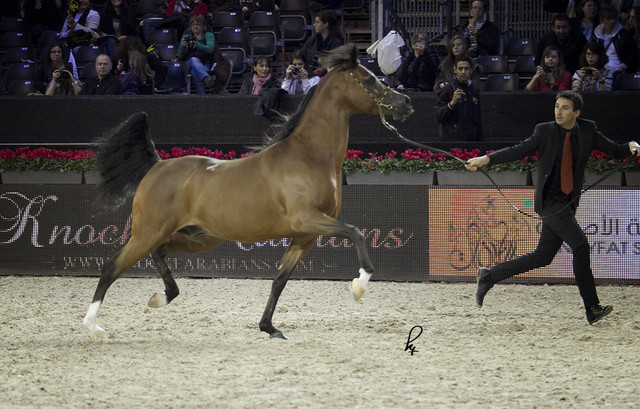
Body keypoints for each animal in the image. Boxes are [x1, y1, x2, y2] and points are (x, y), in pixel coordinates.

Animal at [83, 43, 414, 339]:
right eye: (368, 79)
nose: (406, 103)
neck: (308, 157)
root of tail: (157, 165)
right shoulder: (306, 219)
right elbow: (356, 232)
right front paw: (358, 286)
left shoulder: (305, 235)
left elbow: (280, 279)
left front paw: (269, 328)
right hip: (147, 232)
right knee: (111, 266)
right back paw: (93, 326)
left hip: (200, 238)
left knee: (159, 253)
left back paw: (161, 298)